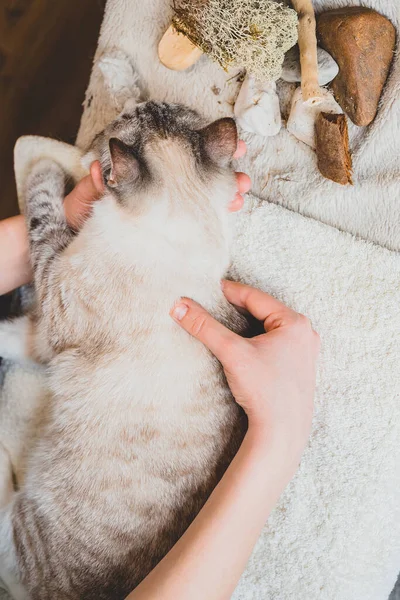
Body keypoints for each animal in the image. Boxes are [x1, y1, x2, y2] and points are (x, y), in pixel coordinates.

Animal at [0, 101, 247, 596]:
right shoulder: (50, 322)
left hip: (16, 523)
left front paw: (44, 166)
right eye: (150, 109)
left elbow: (42, 206)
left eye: (125, 119)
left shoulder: (53, 300)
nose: (139, 102)